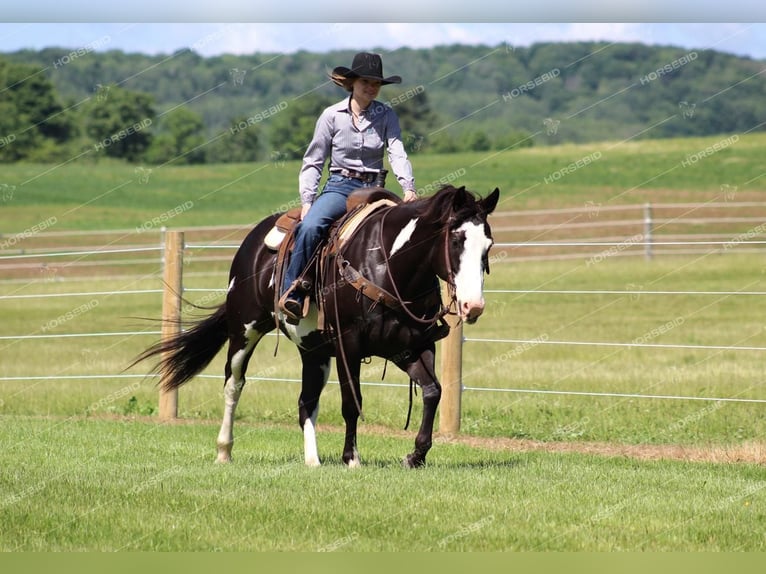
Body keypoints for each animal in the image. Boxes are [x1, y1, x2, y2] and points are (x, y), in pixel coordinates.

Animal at [130, 184, 504, 468]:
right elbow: (352, 402)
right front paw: (351, 458)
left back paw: (312, 461)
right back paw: (224, 450)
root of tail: (252, 242)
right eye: (456, 239)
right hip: (244, 330)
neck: (389, 265)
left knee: (306, 402)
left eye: (488, 244)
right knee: (233, 385)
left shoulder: (411, 347)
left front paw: (416, 456)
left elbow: (432, 391)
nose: (473, 306)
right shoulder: (349, 345)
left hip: (313, 350)